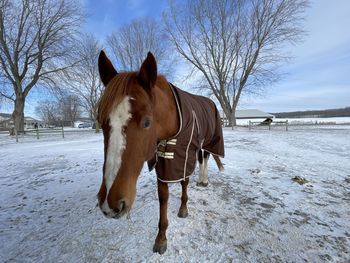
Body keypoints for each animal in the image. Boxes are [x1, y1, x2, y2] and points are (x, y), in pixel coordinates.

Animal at [95, 50, 224, 255]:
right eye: (100, 121)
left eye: (147, 122)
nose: (110, 203)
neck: (174, 120)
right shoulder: (163, 163)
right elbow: (163, 197)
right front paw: (161, 238)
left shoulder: (184, 154)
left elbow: (184, 182)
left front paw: (183, 209)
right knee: (202, 158)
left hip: (209, 140)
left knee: (205, 156)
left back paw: (203, 180)